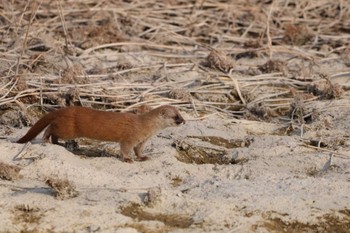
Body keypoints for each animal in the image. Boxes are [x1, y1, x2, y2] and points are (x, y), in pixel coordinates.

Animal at [16, 105, 186, 162]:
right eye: (176, 116)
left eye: (181, 113)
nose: (184, 121)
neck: (146, 128)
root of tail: (64, 109)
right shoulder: (130, 137)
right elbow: (125, 148)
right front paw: (127, 159)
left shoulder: (141, 141)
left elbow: (138, 150)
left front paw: (143, 157)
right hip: (68, 129)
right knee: (50, 129)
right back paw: (46, 140)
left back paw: (58, 144)